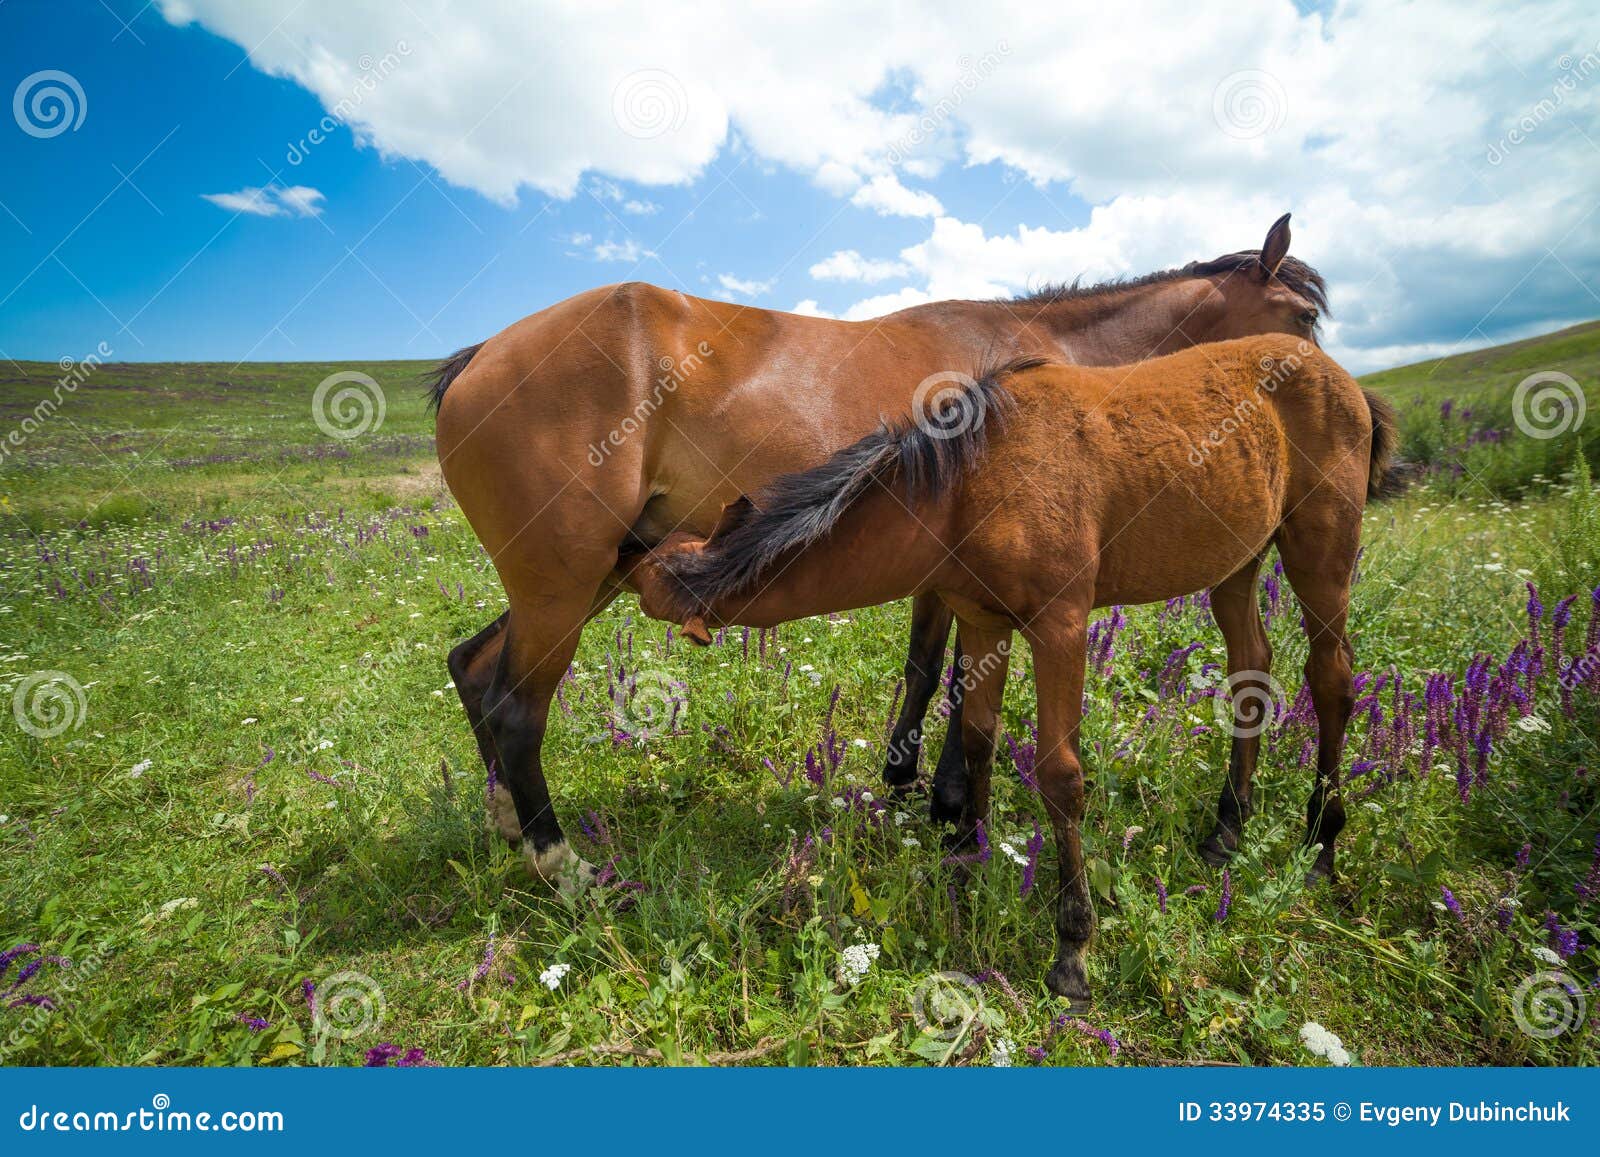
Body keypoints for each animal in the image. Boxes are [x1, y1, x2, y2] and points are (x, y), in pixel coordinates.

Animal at [432, 215, 1330, 892]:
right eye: (1303, 318)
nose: (1330, 384)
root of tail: (480, 356)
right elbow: (957, 682)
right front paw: (950, 804)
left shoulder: (943, 571)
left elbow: (929, 672)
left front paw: (917, 790)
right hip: (564, 587)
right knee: (516, 708)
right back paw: (562, 865)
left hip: (587, 581)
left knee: (474, 666)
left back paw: (507, 822)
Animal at [619, 335, 1397, 1005]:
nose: (619, 555)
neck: (969, 481)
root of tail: (1343, 379)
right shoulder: (984, 620)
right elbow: (978, 738)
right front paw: (967, 864)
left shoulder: (1060, 627)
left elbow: (1060, 775)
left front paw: (1073, 944)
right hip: (1238, 564)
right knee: (1251, 674)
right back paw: (1228, 826)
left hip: (1320, 552)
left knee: (1331, 679)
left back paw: (1322, 841)